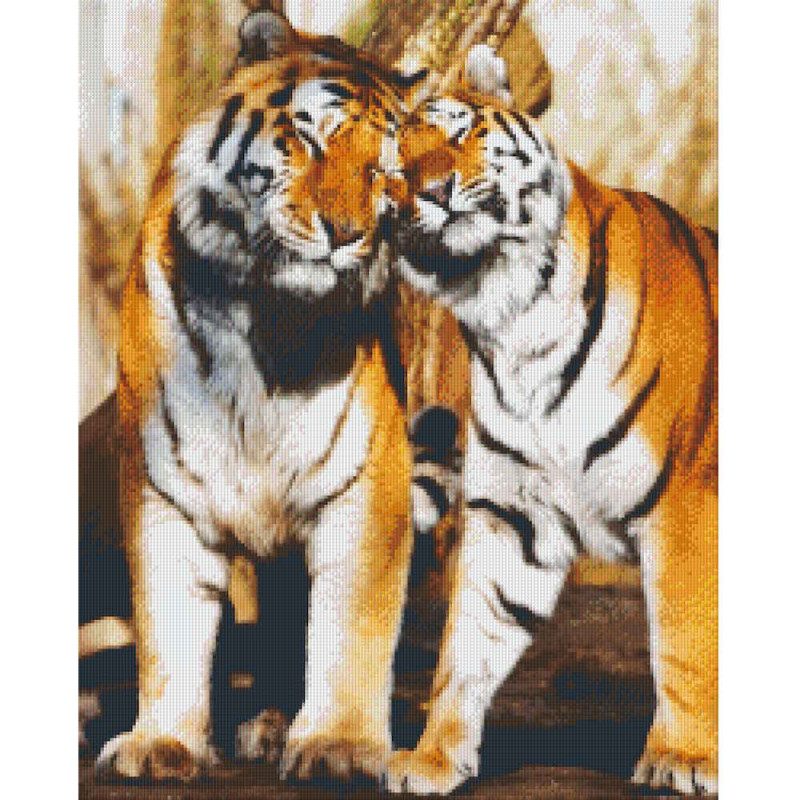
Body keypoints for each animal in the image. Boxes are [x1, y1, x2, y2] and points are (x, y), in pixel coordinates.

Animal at [98, 8, 434, 784]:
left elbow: (353, 622)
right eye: (309, 139)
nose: (347, 234)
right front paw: (162, 742)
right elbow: (170, 618)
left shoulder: (368, 482)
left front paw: (340, 744)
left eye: (384, 170)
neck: (271, 320)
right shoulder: (163, 482)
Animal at [384, 47, 718, 796]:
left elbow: (682, 639)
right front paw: (433, 756)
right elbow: (468, 643)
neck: (509, 317)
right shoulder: (515, 515)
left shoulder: (685, 504)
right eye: (396, 167)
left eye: (459, 133)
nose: (434, 190)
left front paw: (681, 759)